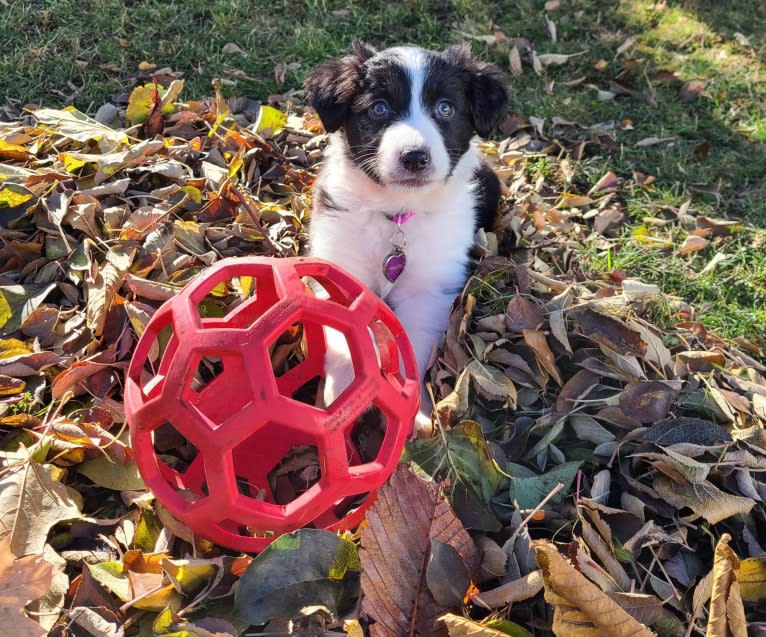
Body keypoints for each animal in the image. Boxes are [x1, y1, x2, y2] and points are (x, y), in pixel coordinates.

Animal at [304, 39, 510, 432]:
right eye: (379, 108)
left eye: (445, 108)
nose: (415, 157)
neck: (397, 212)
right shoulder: (341, 264)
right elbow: (344, 329)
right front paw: (343, 392)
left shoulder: (428, 290)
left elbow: (411, 344)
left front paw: (415, 410)